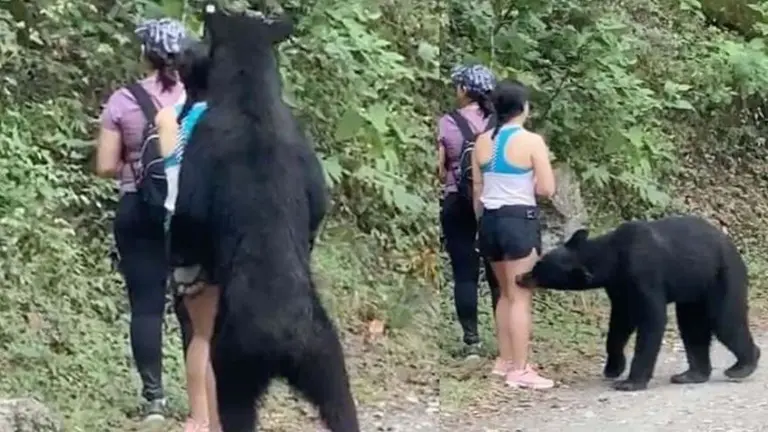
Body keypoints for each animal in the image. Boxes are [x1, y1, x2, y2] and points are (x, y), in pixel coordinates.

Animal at [168, 5, 358, 431]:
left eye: (205, 42)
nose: (186, 57)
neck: (251, 96)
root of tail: (282, 339)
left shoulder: (202, 150)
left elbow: (188, 218)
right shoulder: (305, 154)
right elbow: (317, 206)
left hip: (234, 360)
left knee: (234, 404)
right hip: (324, 353)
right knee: (342, 404)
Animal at [516, 215, 761, 392]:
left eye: (538, 271)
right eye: (537, 264)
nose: (519, 277)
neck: (612, 258)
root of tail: (731, 245)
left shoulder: (643, 272)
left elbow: (652, 319)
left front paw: (630, 382)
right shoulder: (619, 286)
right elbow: (620, 322)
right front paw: (613, 368)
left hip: (722, 276)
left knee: (725, 320)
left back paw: (743, 365)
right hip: (694, 290)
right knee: (692, 326)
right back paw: (691, 374)